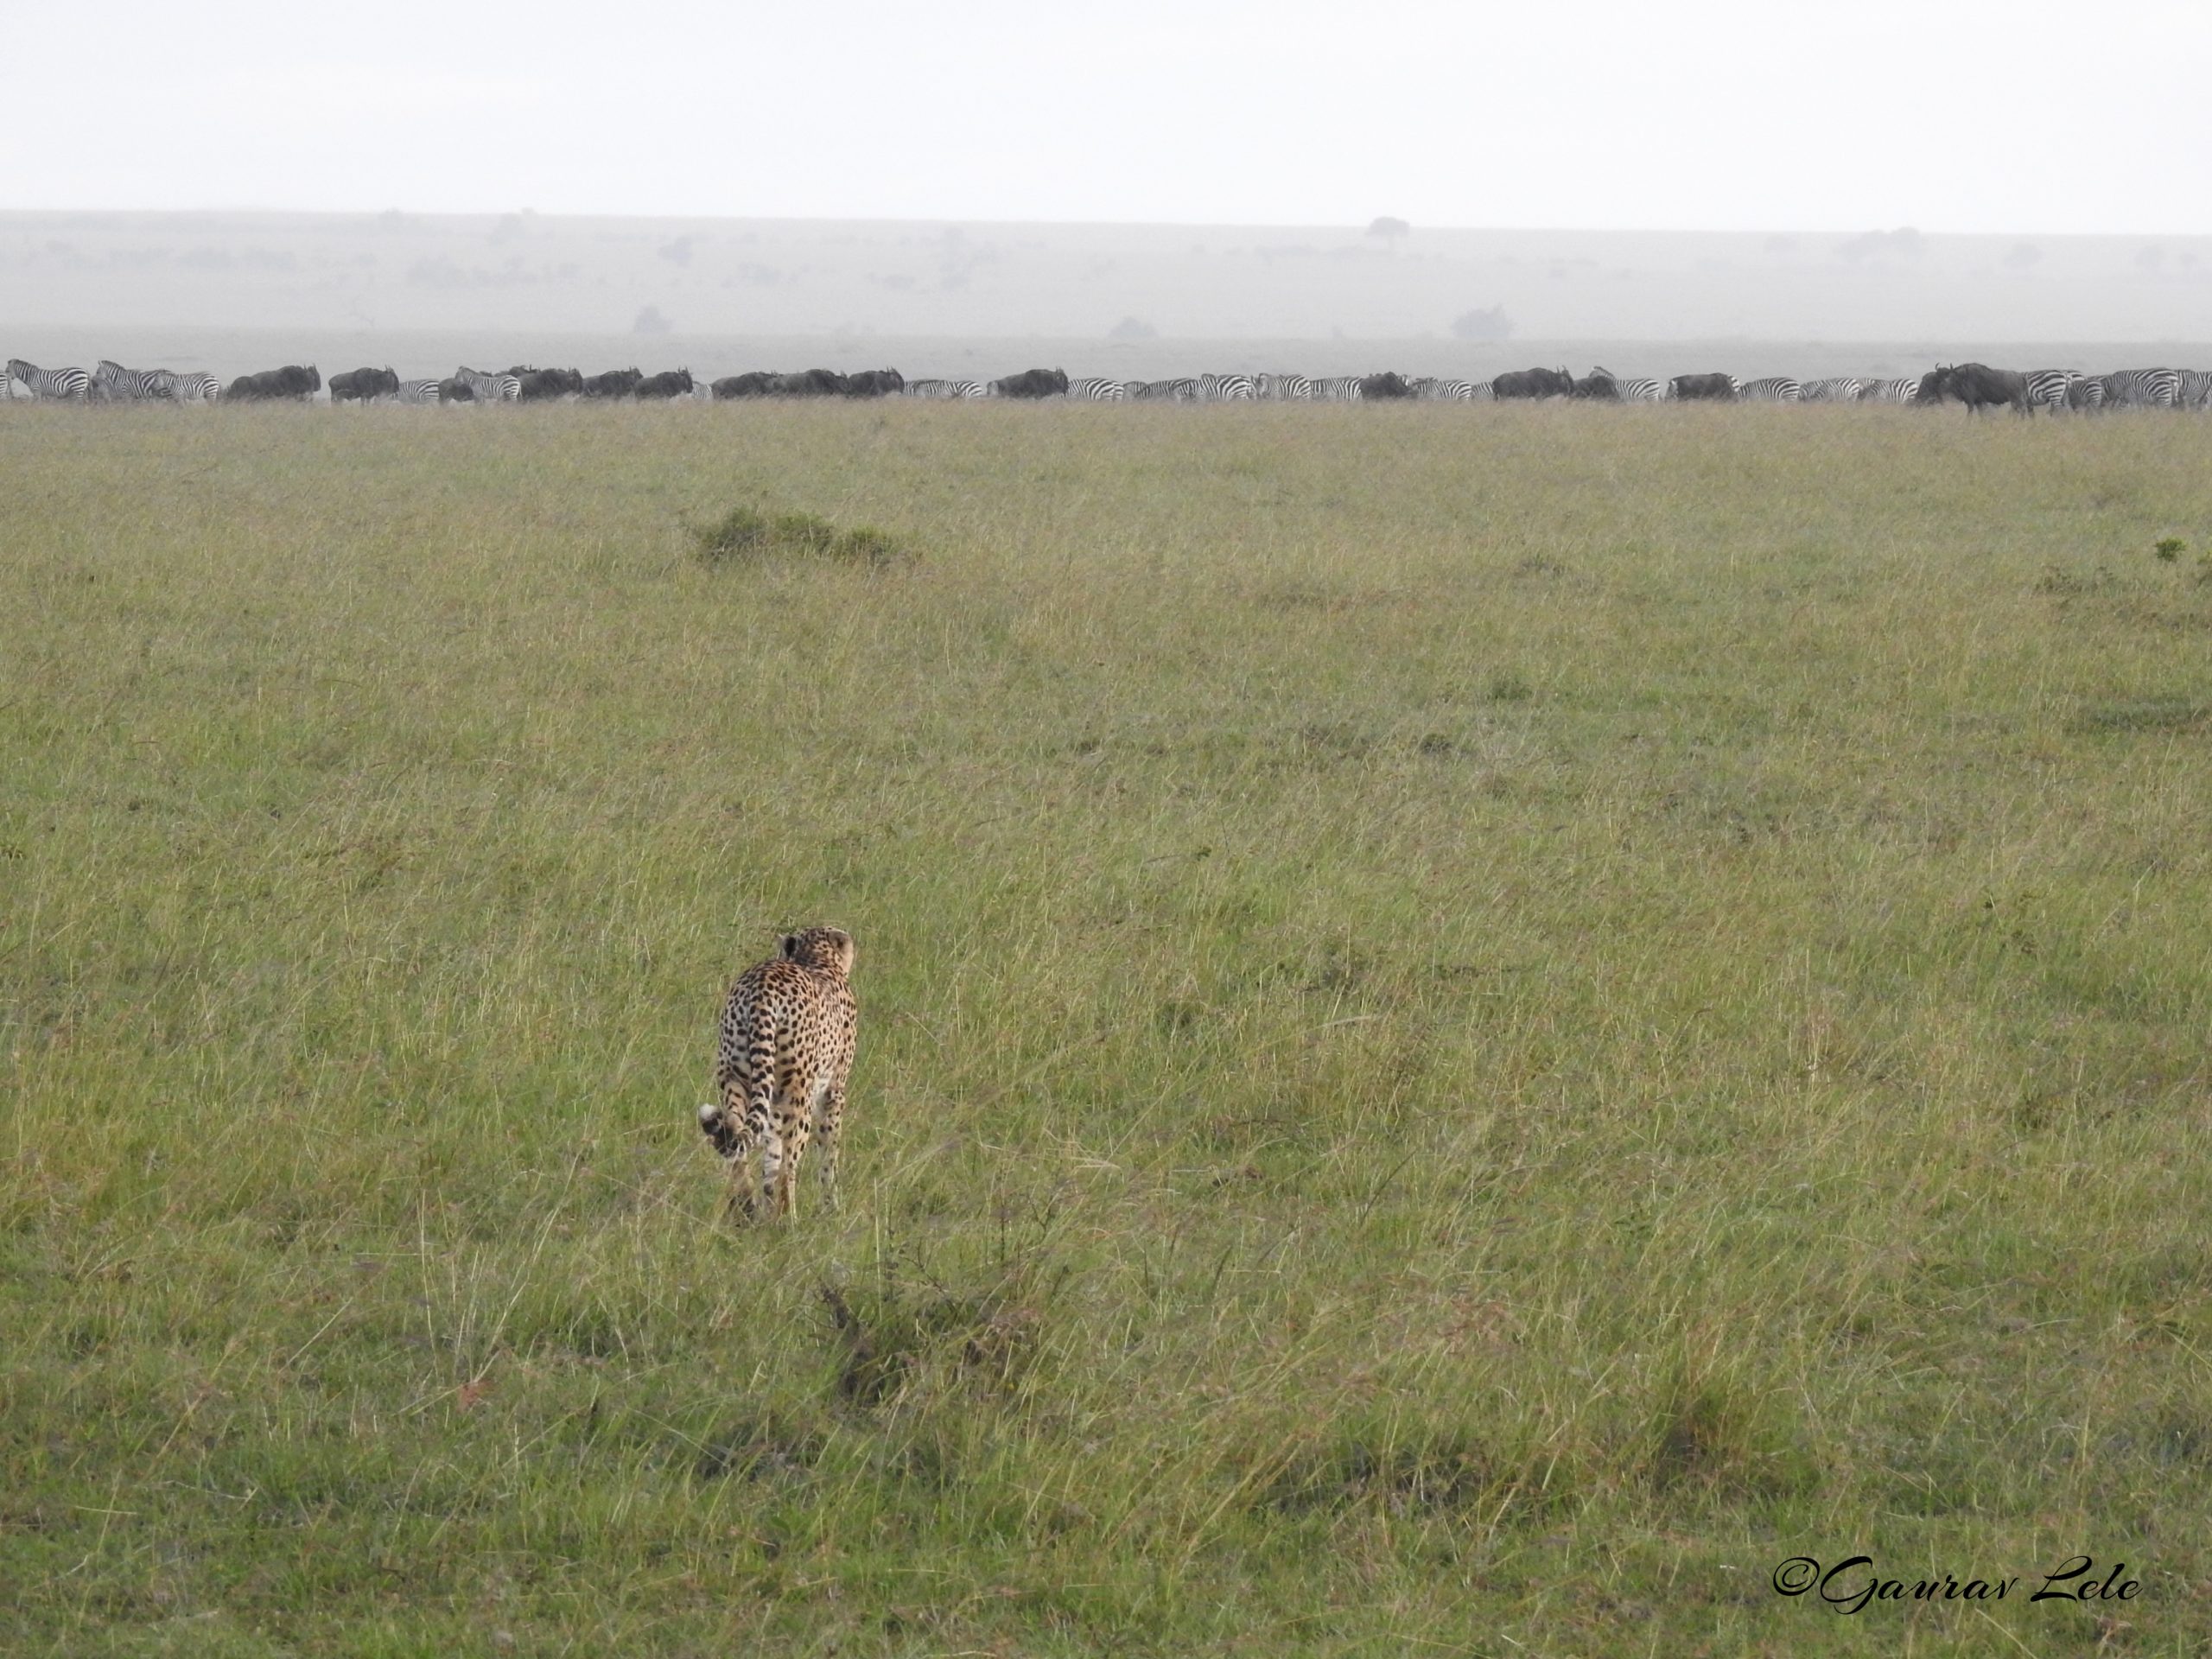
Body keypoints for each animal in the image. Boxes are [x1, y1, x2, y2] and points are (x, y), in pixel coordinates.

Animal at [698, 929, 854, 1230]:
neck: (816, 959)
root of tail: (762, 983)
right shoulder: (833, 1093)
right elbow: (828, 1155)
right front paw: (832, 1207)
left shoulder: (773, 1101)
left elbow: (770, 1156)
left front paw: (767, 1210)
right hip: (799, 1096)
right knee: (788, 1167)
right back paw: (789, 1220)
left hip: (736, 1079)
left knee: (736, 1142)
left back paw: (749, 1208)